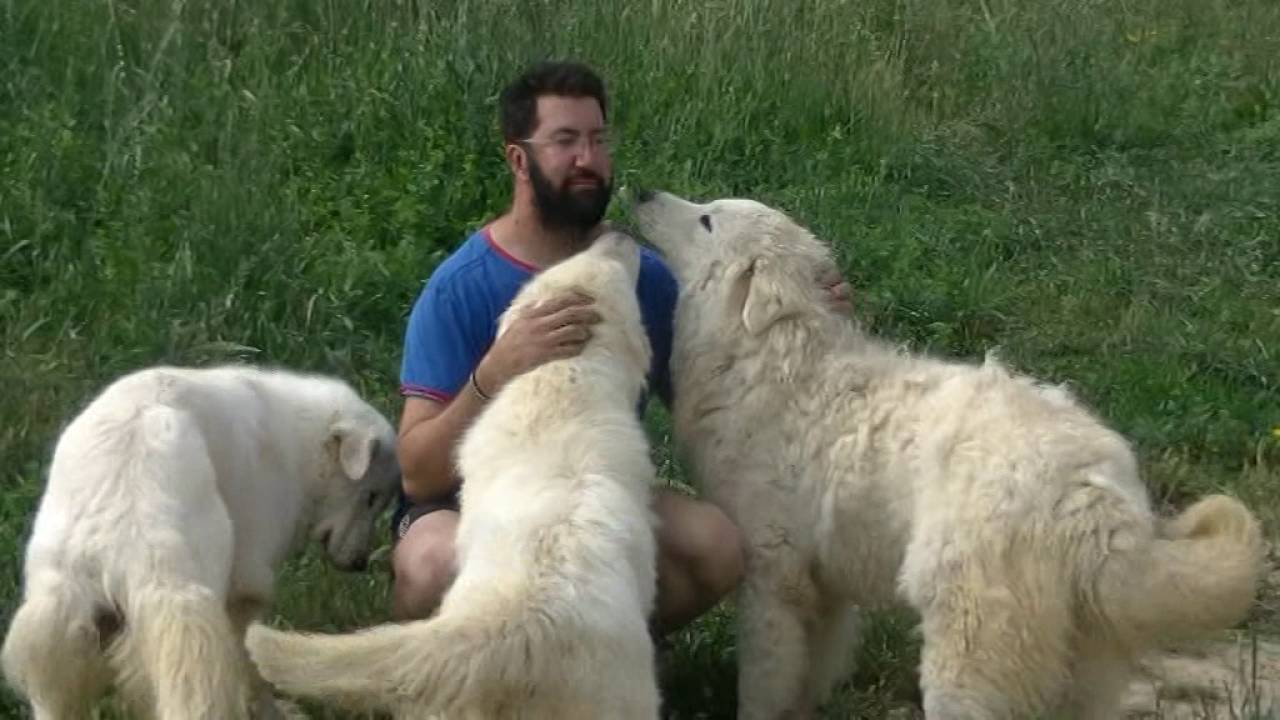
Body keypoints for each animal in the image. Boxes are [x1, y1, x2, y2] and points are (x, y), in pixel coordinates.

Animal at [1, 363, 399, 717]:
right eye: (371, 497)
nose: (361, 563)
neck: (300, 443)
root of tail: (109, 537)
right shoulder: (247, 586)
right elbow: (253, 668)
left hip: (56, 631)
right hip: (188, 615)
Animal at [632, 188, 1269, 712]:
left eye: (708, 218)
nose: (642, 193)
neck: (772, 358)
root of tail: (1087, 496)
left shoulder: (772, 577)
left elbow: (765, 683)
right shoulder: (825, 587)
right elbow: (812, 674)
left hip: (966, 640)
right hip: (1080, 663)